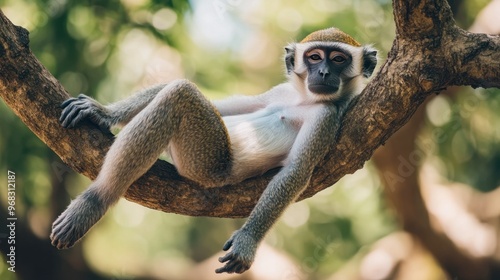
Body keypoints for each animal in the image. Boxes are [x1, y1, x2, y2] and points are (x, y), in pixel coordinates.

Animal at [51, 27, 378, 274]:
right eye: (314, 57)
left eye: (338, 59)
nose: (322, 72)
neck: (305, 100)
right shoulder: (279, 92)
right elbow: (224, 106)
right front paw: (102, 112)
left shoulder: (326, 119)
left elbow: (295, 172)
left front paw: (247, 240)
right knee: (179, 90)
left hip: (204, 162)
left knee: (180, 95)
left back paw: (95, 201)